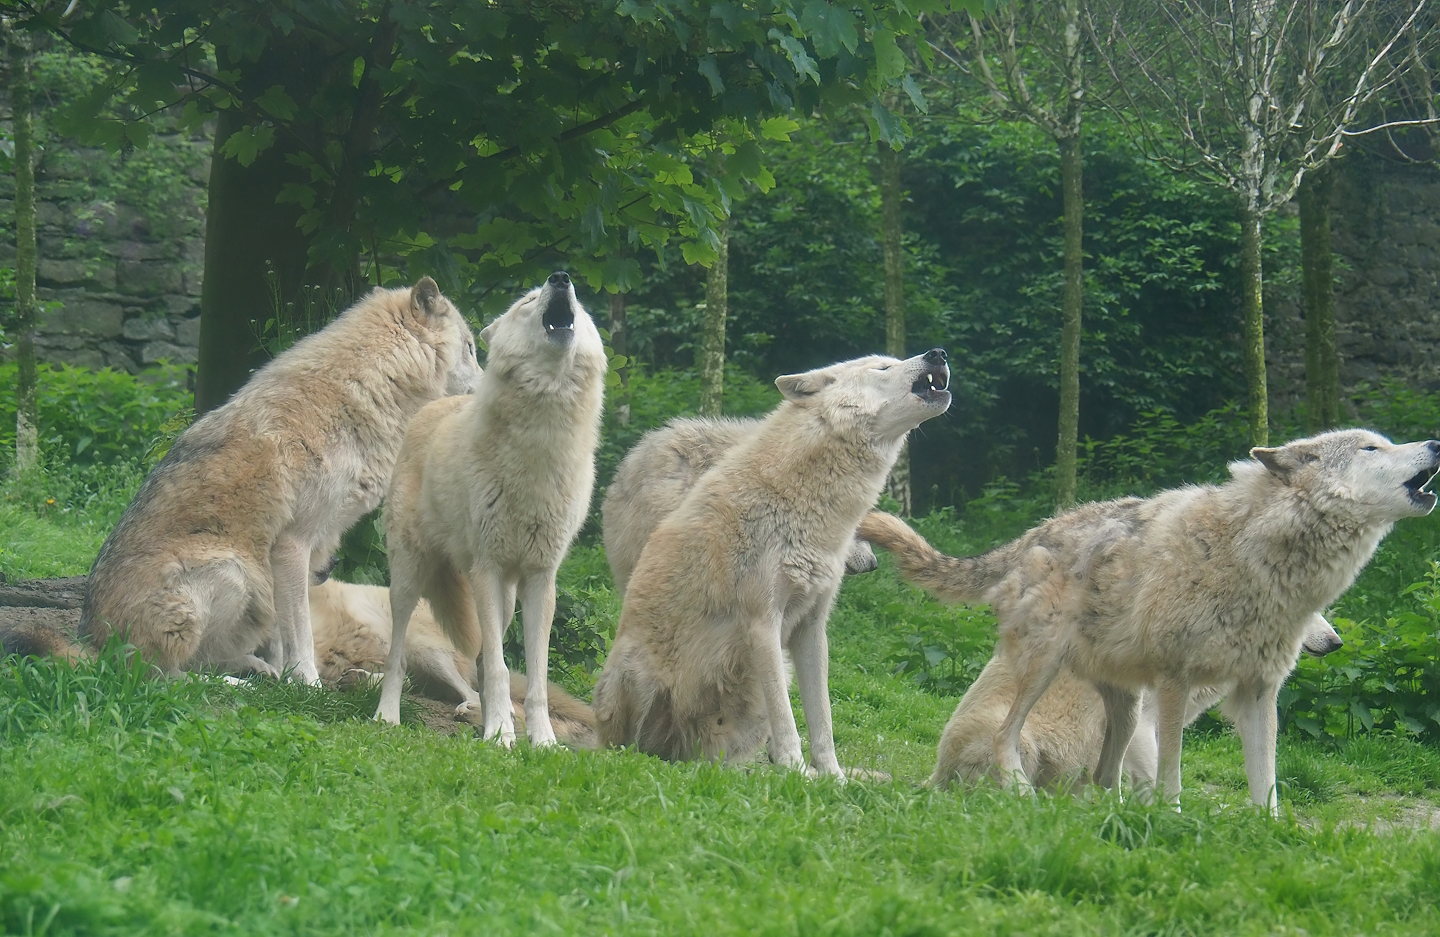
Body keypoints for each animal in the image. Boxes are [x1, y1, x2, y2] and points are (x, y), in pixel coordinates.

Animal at [81, 279, 480, 682]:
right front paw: (311, 684)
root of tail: (95, 644)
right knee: (168, 674)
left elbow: (284, 632)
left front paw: (287, 678)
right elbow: (301, 632)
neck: (365, 390)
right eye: (471, 348)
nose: (487, 385)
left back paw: (257, 670)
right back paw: (235, 683)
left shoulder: (309, 550)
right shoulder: (292, 545)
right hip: (234, 572)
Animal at [375, 272, 607, 748]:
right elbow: (501, 668)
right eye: (529, 299)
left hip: (506, 596)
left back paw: (478, 715)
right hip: (411, 576)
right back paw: (387, 715)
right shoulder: (489, 567)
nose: (561, 278)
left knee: (482, 663)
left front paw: (541, 740)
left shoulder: (540, 577)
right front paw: (500, 734)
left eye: (577, 301)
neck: (541, 443)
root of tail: (433, 405)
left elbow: (535, 675)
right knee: (398, 654)